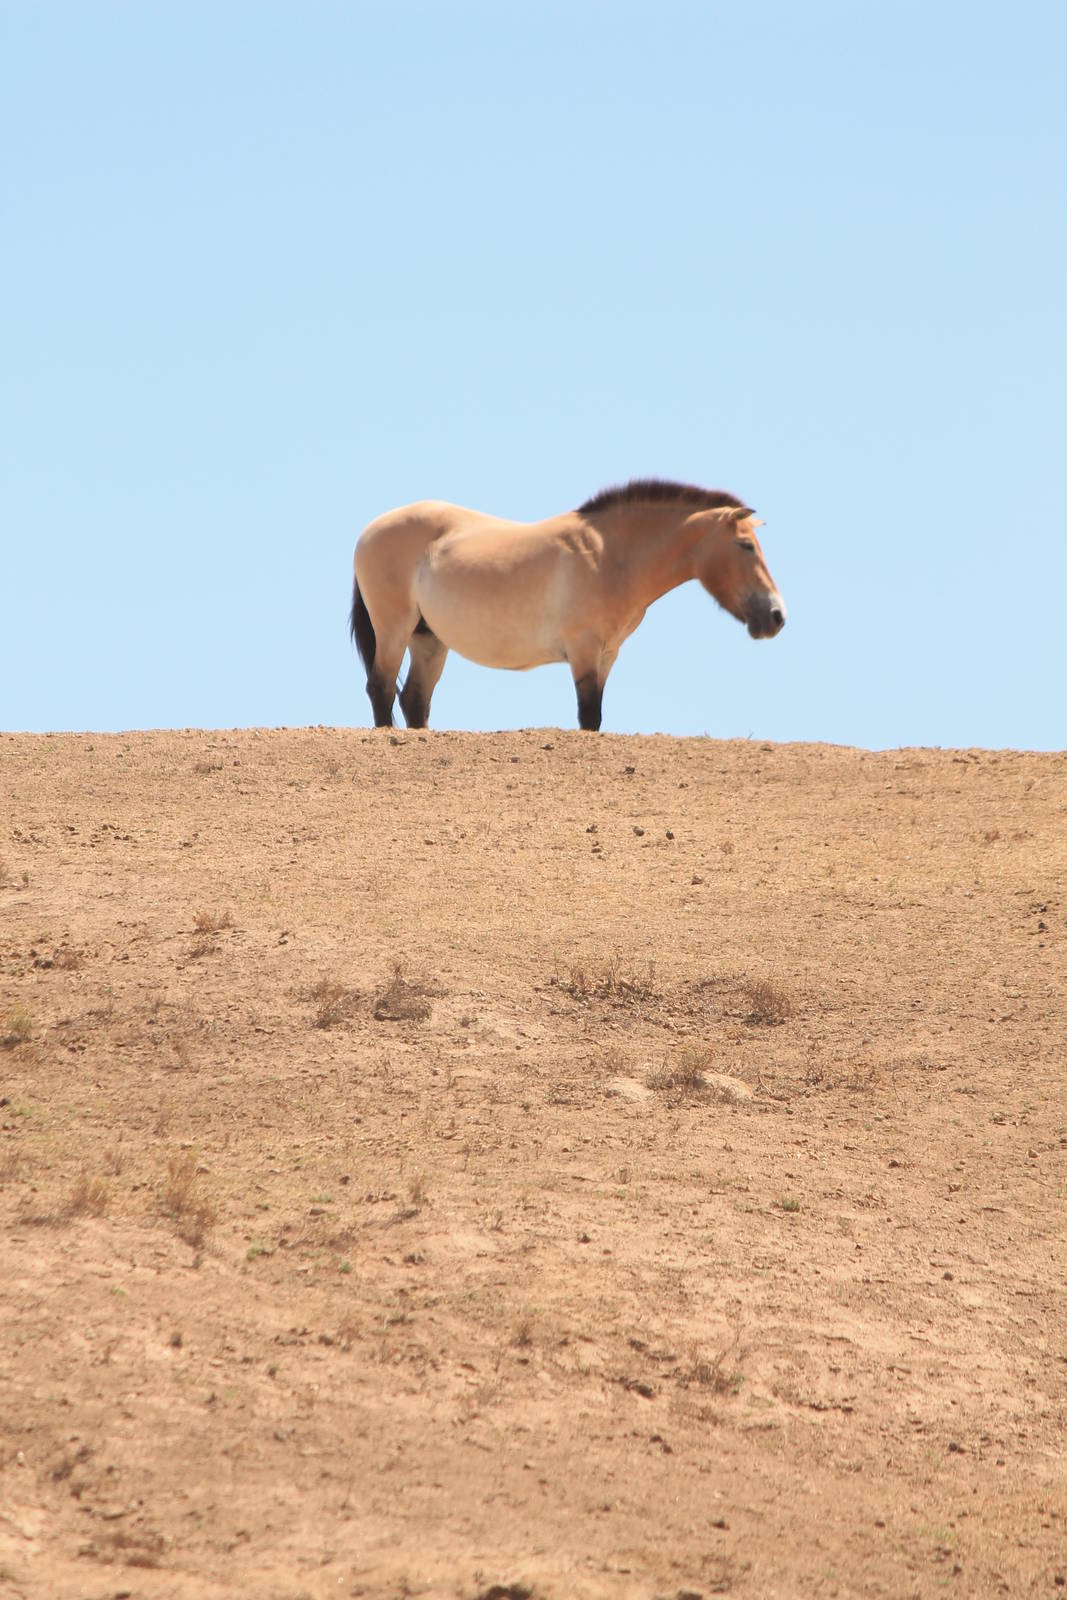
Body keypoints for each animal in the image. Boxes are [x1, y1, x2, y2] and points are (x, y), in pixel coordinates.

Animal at [349, 478, 786, 731]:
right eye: (746, 545)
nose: (776, 616)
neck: (610, 556)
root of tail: (369, 531)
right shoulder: (583, 650)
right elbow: (588, 716)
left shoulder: (607, 655)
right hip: (394, 629)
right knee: (382, 687)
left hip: (429, 639)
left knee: (414, 699)